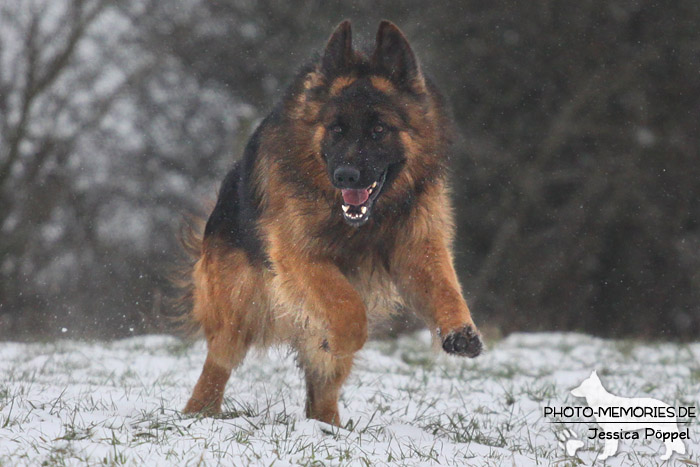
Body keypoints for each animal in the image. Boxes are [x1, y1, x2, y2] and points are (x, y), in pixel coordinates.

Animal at [182, 20, 482, 426]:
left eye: (379, 130)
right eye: (336, 129)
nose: (346, 176)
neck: (365, 220)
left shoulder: (418, 245)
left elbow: (445, 287)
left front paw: (460, 329)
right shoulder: (298, 256)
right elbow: (347, 307)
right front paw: (337, 336)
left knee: (322, 390)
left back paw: (328, 428)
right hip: (238, 311)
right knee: (218, 362)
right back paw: (199, 413)